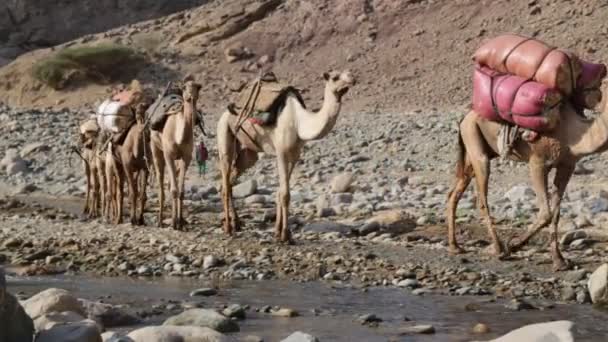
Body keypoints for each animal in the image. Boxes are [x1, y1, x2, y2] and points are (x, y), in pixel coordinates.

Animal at [151, 80, 202, 230]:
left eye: (198, 87)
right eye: (184, 87)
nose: (191, 95)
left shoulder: (186, 157)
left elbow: (181, 191)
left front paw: (181, 221)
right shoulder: (169, 155)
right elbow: (174, 189)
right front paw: (174, 222)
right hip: (155, 148)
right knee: (161, 183)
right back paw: (160, 220)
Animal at [216, 71, 354, 243]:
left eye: (349, 73)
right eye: (335, 77)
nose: (352, 80)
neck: (299, 122)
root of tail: (226, 112)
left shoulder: (294, 155)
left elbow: (280, 192)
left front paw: (278, 232)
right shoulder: (281, 152)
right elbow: (285, 194)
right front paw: (285, 235)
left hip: (248, 153)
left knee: (230, 181)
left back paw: (236, 223)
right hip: (224, 134)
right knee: (226, 177)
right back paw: (228, 227)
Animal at [444, 89, 608, 272]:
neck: (574, 133)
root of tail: (464, 118)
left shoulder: (567, 166)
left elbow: (556, 213)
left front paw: (559, 261)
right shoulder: (538, 162)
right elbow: (546, 213)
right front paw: (513, 245)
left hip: (474, 153)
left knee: (454, 192)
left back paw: (455, 246)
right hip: (475, 142)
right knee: (481, 199)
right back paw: (498, 249)